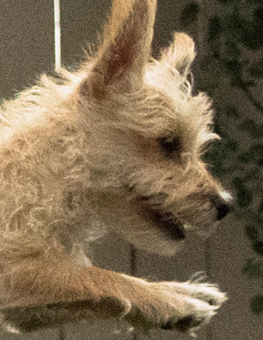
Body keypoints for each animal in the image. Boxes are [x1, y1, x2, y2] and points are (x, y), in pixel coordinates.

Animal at [0, 0, 232, 336]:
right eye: (168, 143)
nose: (225, 205)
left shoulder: (28, 306)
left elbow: (98, 282)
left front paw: (173, 293)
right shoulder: (13, 271)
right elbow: (97, 276)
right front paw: (174, 301)